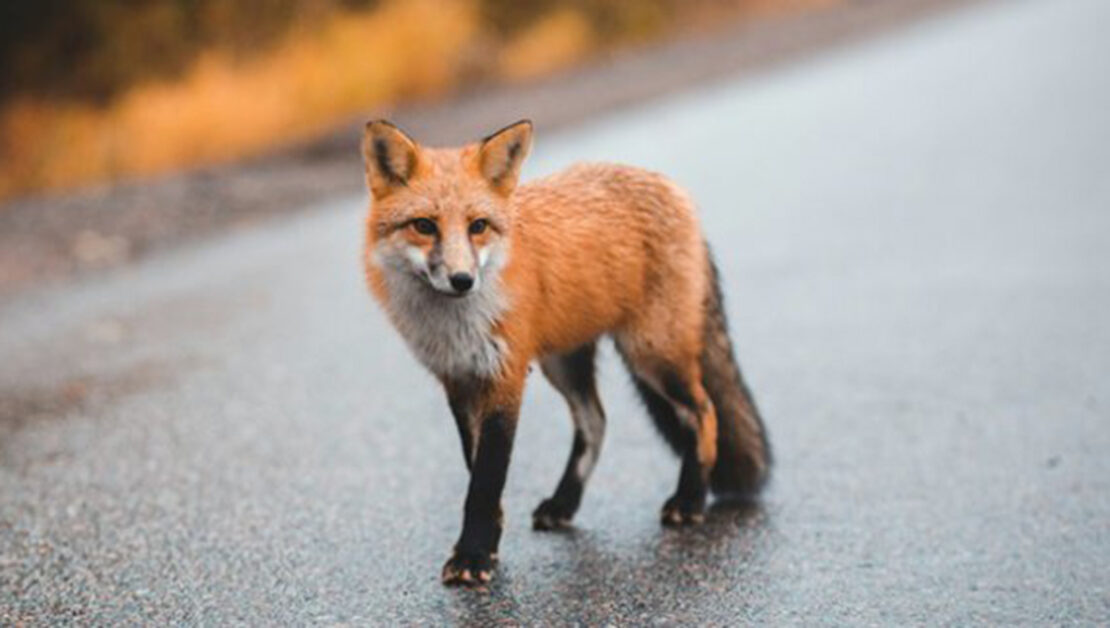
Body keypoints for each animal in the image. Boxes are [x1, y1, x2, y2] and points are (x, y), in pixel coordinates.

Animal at [359, 119, 768, 590]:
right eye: (424, 226)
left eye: (478, 225)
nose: (463, 280)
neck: (454, 324)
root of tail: (671, 187)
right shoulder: (458, 379)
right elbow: (476, 471)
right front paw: (488, 545)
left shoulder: (506, 375)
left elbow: (486, 479)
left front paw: (474, 555)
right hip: (565, 364)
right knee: (596, 421)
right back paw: (564, 503)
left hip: (652, 355)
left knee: (703, 412)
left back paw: (690, 499)